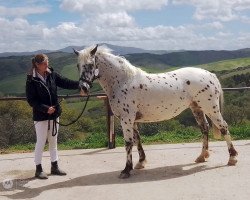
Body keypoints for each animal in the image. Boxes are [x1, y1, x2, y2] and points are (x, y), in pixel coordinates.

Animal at [73, 45, 237, 178]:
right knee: (205, 128)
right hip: (197, 108)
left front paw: (126, 170)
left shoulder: (126, 119)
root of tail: (210, 75)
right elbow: (137, 139)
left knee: (223, 127)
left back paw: (232, 158)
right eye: (78, 65)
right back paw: (202, 157)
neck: (124, 81)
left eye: (90, 64)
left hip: (210, 108)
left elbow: (128, 143)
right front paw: (140, 163)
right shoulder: (133, 120)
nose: (83, 88)